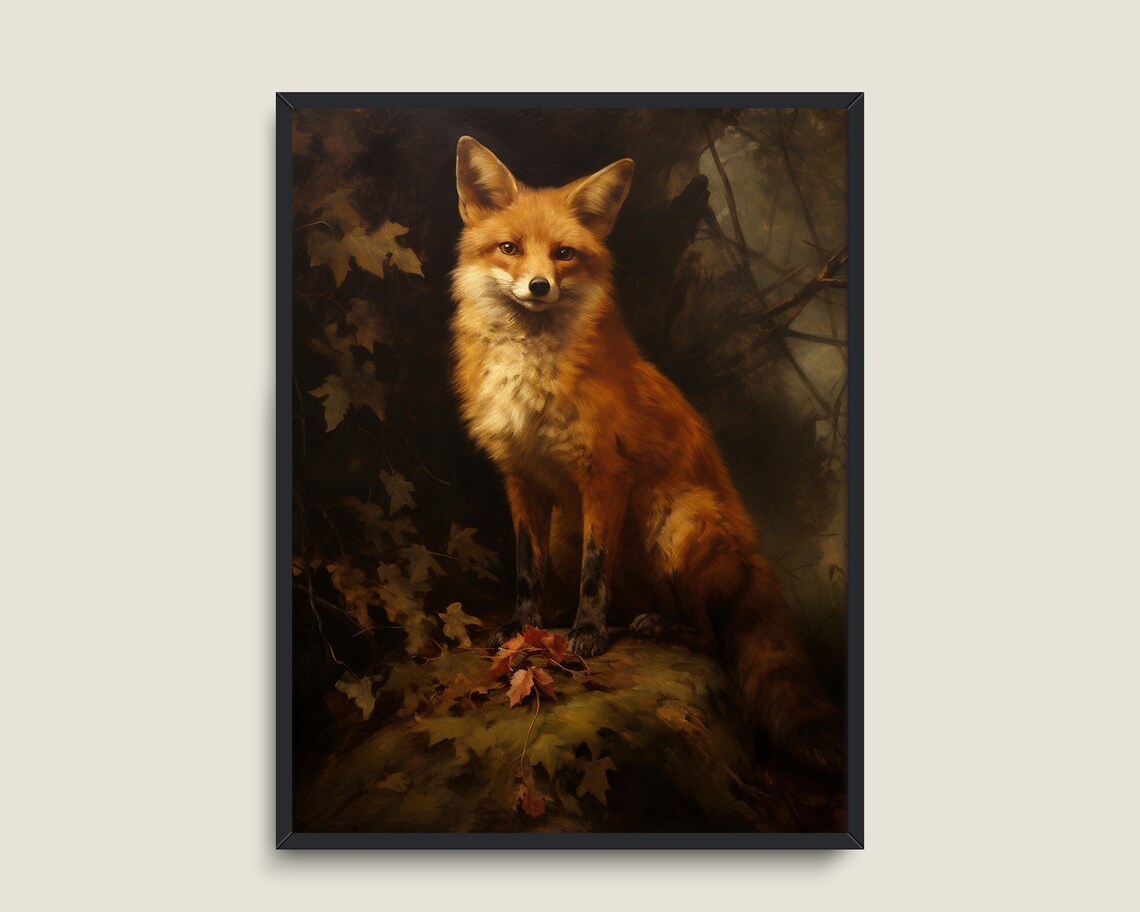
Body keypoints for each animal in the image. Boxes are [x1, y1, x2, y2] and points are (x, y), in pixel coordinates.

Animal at [449, 136, 843, 774]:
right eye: (509, 248)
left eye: (564, 254)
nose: (539, 287)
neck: (532, 373)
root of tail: (757, 556)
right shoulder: (519, 477)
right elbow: (526, 567)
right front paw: (522, 627)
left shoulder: (602, 475)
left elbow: (595, 571)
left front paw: (587, 634)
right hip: (569, 530)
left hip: (676, 520)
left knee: (710, 637)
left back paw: (656, 626)